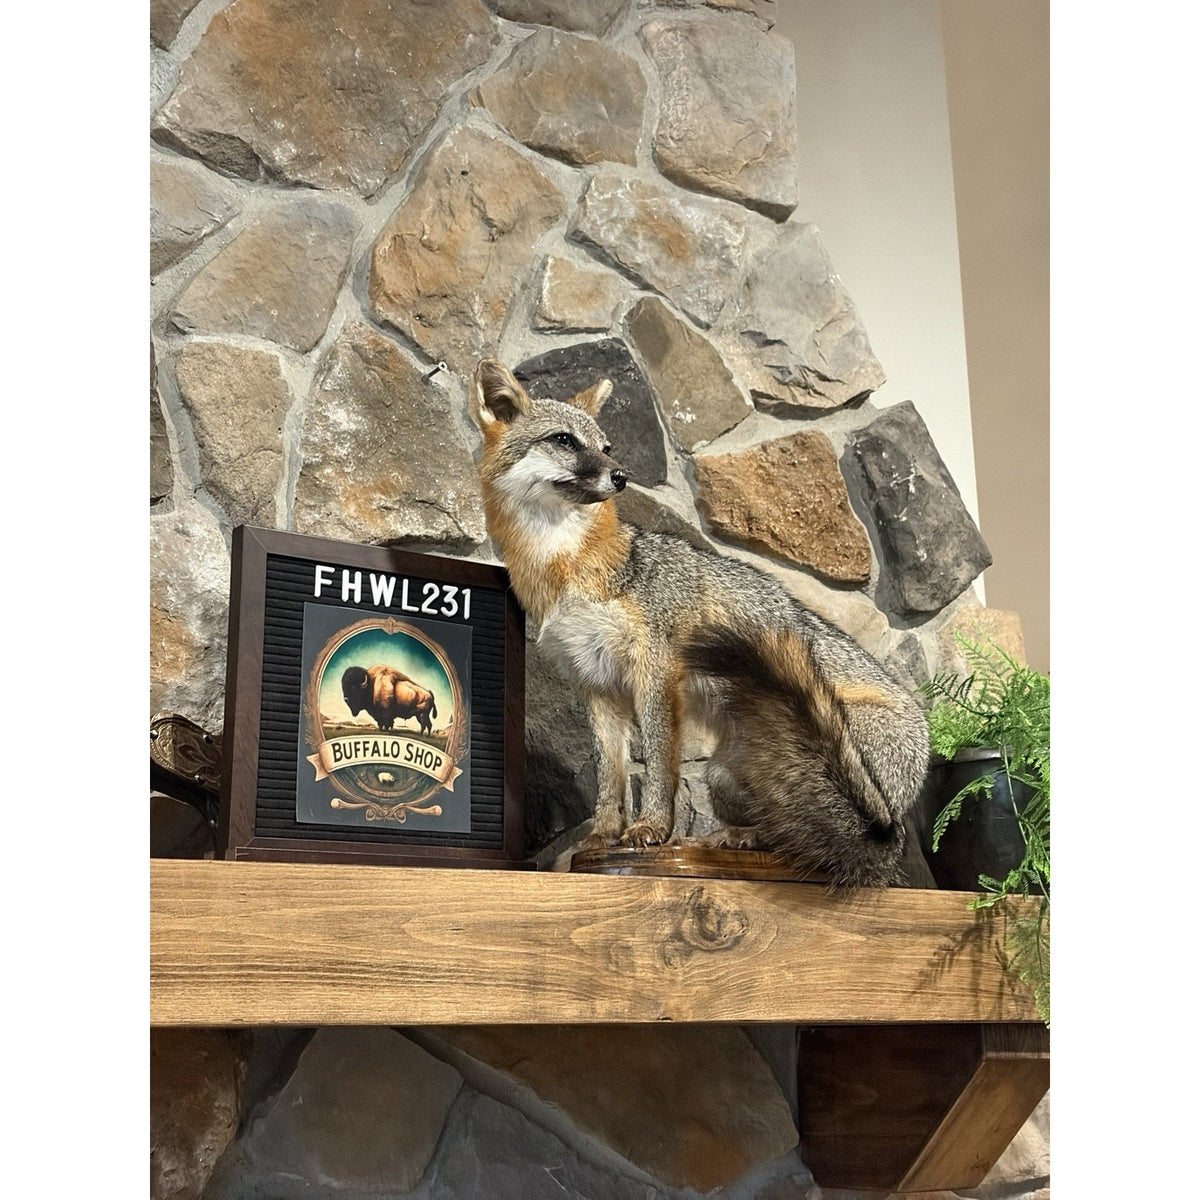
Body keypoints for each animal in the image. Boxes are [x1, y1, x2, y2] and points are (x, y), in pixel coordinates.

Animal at [470, 357, 930, 886]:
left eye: (606, 448)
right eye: (564, 440)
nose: (621, 476)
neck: (563, 571)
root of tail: (898, 820)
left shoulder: (655, 669)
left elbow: (658, 762)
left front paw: (651, 829)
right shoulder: (597, 685)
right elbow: (610, 777)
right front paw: (602, 838)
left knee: (810, 843)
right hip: (723, 774)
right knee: (793, 834)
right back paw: (735, 838)